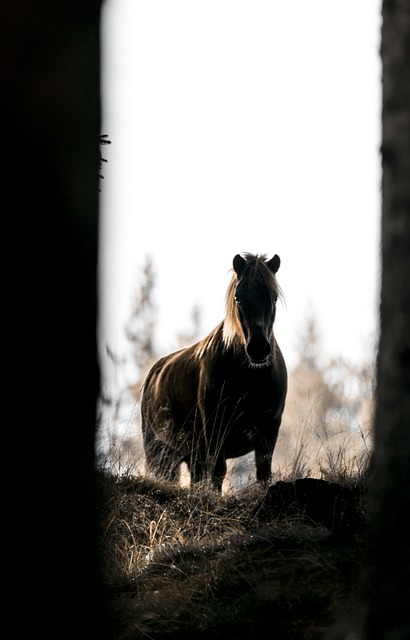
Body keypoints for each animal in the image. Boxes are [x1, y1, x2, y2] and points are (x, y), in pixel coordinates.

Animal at [141, 251, 288, 490]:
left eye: (273, 298)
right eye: (238, 298)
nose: (258, 348)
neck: (249, 378)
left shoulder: (269, 432)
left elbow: (263, 474)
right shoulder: (215, 431)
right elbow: (218, 474)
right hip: (160, 451)